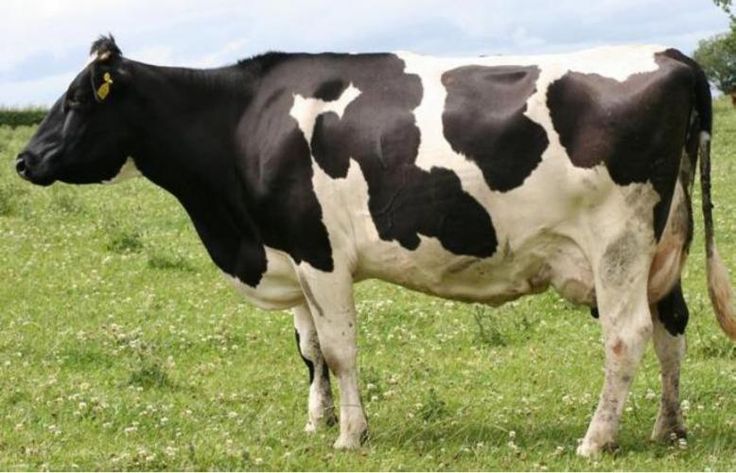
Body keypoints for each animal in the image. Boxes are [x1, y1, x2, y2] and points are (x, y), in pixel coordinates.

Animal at [15, 35, 736, 456]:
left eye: (76, 100)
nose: (24, 159)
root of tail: (674, 58)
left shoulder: (320, 251)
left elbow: (338, 349)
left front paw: (350, 434)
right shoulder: (290, 249)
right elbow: (308, 349)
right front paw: (316, 421)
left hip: (617, 243)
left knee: (626, 335)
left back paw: (596, 438)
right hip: (661, 246)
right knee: (671, 325)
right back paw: (668, 426)